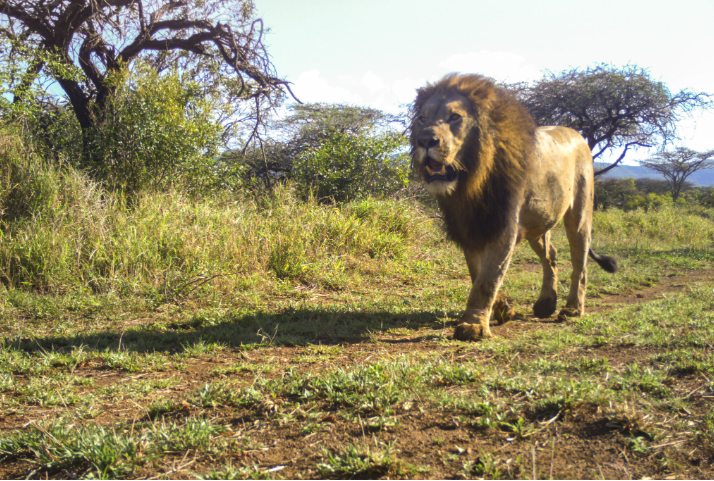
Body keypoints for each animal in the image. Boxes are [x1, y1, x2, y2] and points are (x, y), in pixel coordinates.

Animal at [408, 73, 616, 340]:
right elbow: (477, 273)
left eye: (455, 117)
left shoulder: (504, 227)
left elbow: (487, 279)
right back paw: (546, 304)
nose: (424, 140)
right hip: (537, 223)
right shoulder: (471, 228)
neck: (471, 182)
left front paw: (473, 326)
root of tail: (578, 135)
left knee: (579, 262)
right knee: (551, 255)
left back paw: (572, 309)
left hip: (579, 213)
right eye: (422, 119)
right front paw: (503, 308)